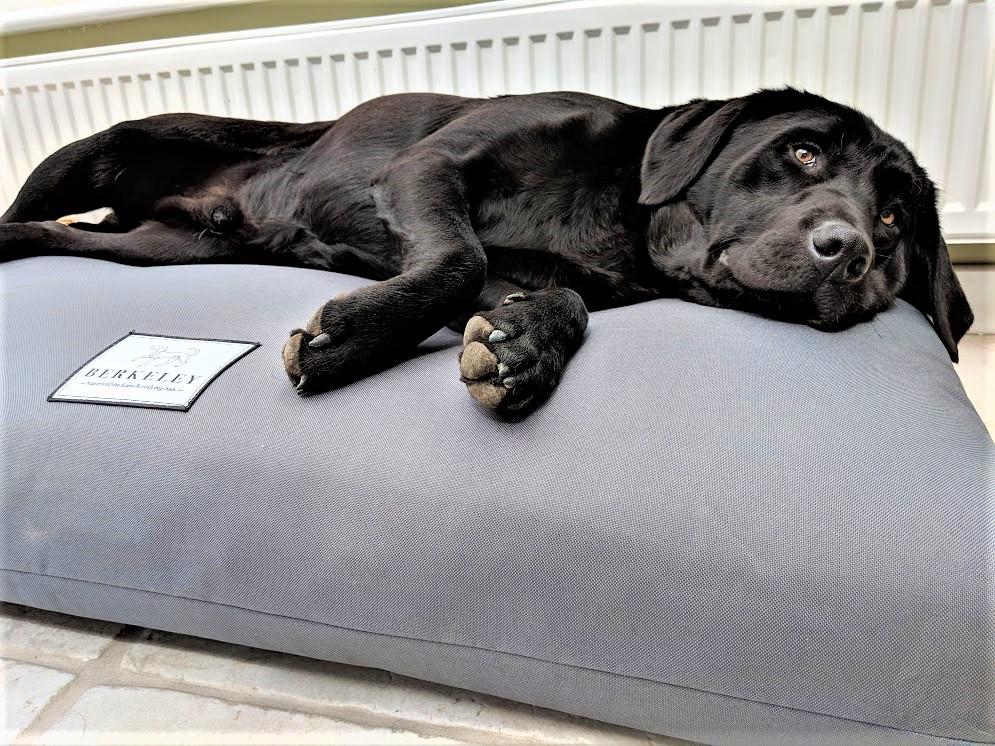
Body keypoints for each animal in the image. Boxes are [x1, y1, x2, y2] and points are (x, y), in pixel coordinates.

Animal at [0, 89, 972, 416]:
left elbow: (556, 300)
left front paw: (522, 349)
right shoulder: (426, 169)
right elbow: (457, 260)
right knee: (26, 212)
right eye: (802, 153)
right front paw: (353, 341)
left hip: (160, 250)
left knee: (69, 239)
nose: (848, 253)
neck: (615, 207)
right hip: (96, 152)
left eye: (893, 218)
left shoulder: (541, 270)